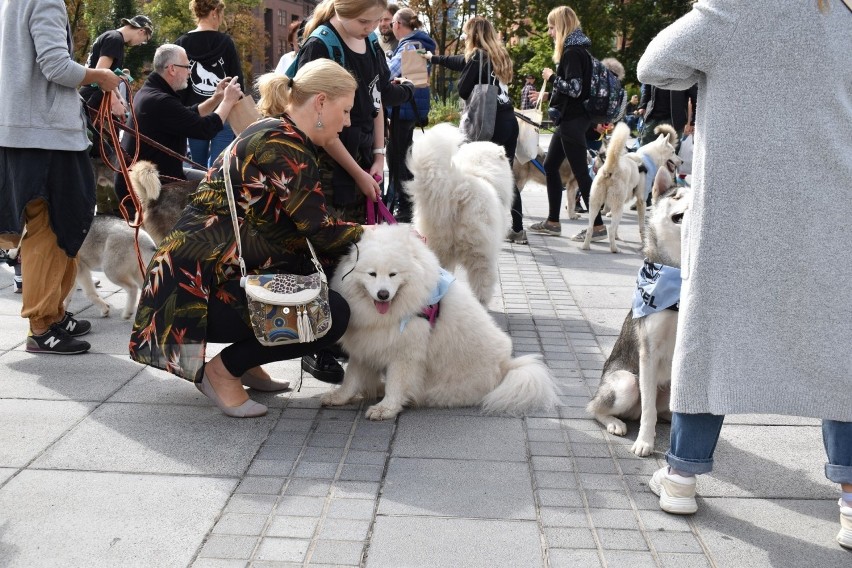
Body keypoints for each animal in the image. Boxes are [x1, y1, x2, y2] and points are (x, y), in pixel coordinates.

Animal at [320, 224, 560, 420]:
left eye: (393, 274)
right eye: (372, 274)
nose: (383, 294)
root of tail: (506, 368)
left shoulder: (405, 353)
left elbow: (396, 384)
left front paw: (385, 409)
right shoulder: (366, 344)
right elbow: (351, 377)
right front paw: (339, 397)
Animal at [404, 122, 516, 304]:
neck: (478, 172)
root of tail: (457, 187)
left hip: (436, 244)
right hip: (481, 251)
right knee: (482, 279)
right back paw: (481, 303)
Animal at [580, 123, 680, 253]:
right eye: (673, 152)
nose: (682, 161)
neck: (647, 159)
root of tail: (609, 169)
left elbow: (616, 225)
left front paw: (617, 236)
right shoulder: (641, 201)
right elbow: (641, 227)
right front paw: (643, 243)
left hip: (595, 205)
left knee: (590, 228)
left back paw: (586, 246)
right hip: (617, 206)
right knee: (610, 229)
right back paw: (614, 249)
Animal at [588, 168, 688, 458]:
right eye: (676, 196)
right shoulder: (649, 351)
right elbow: (648, 411)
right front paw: (644, 442)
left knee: (662, 410)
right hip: (626, 382)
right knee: (595, 408)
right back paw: (615, 423)